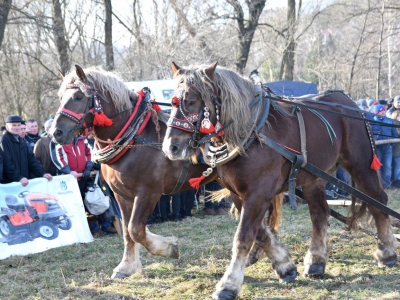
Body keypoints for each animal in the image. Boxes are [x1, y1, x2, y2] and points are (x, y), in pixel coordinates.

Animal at [162, 62, 396, 298]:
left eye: (192, 100)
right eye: (172, 101)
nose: (171, 147)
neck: (251, 131)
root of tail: (349, 102)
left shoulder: (257, 194)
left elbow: (243, 237)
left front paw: (228, 284)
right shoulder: (240, 194)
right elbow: (261, 234)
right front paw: (285, 266)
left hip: (360, 164)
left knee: (378, 201)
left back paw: (387, 251)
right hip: (314, 177)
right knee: (320, 213)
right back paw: (316, 261)